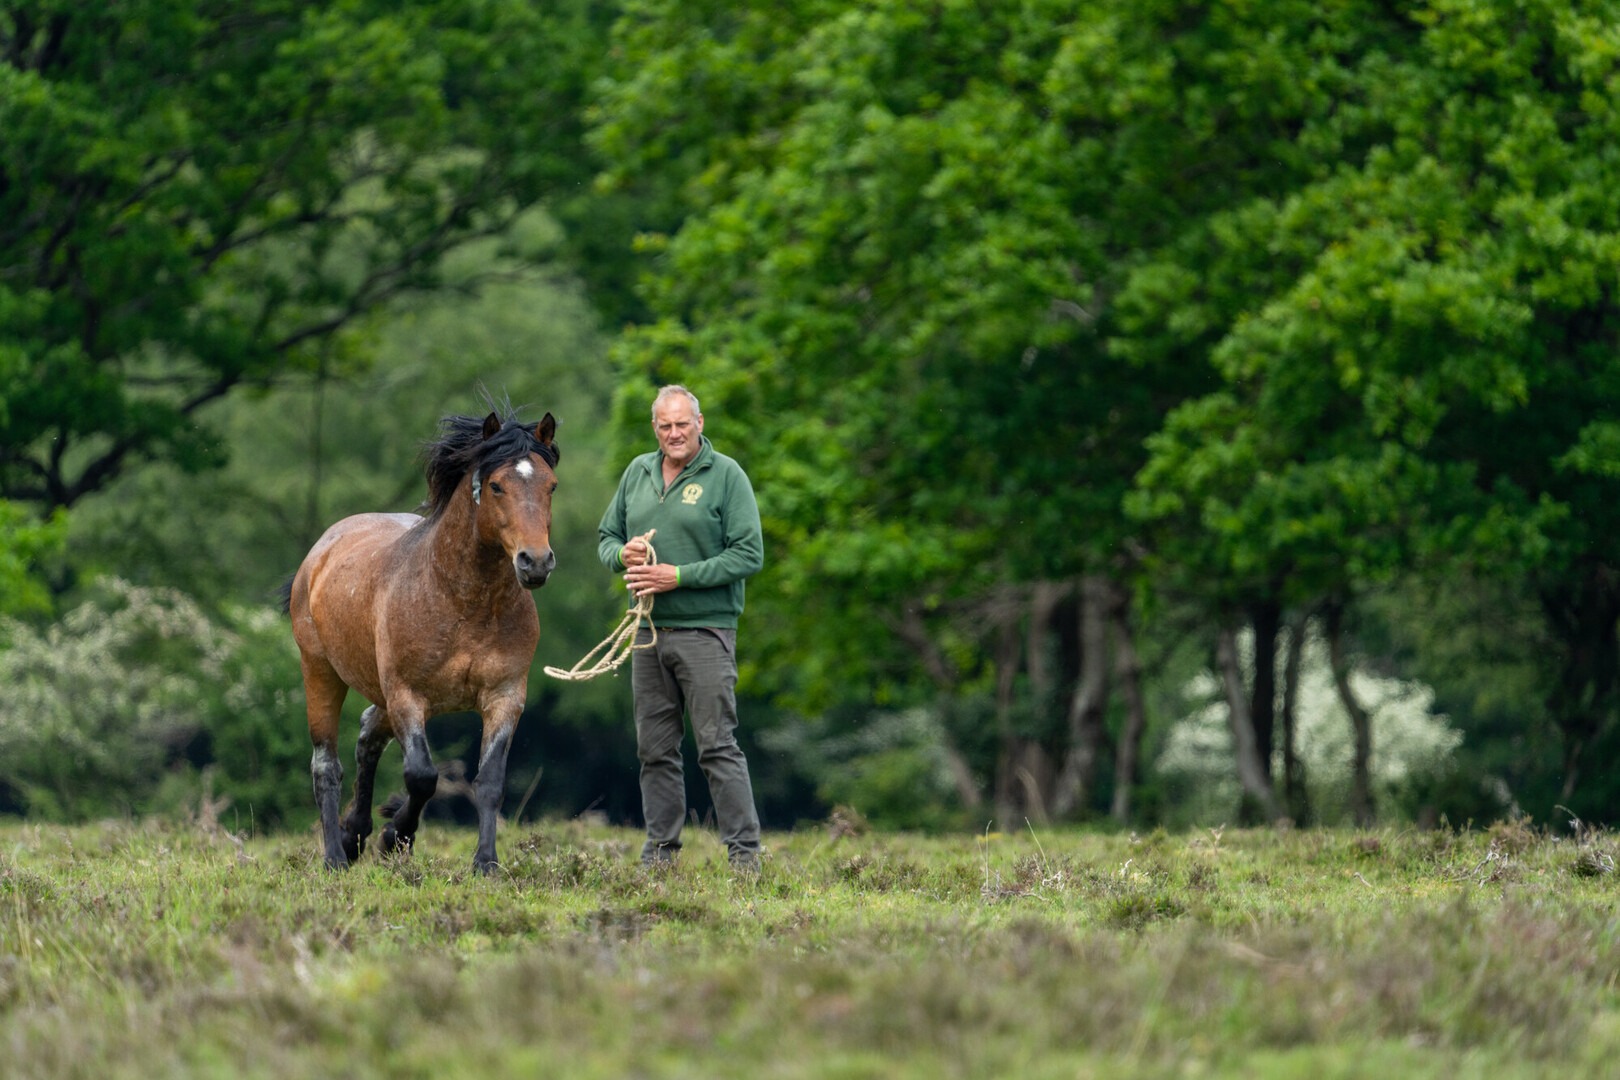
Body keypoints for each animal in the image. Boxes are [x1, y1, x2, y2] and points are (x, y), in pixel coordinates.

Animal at [282, 406, 559, 874]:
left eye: (551, 485)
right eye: (497, 485)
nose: (535, 562)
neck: (463, 601)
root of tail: (321, 550)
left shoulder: (505, 696)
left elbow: (490, 782)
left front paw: (485, 862)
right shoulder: (407, 695)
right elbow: (422, 776)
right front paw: (396, 836)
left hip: (381, 695)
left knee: (368, 736)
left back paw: (354, 834)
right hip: (321, 672)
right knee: (326, 765)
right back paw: (336, 855)